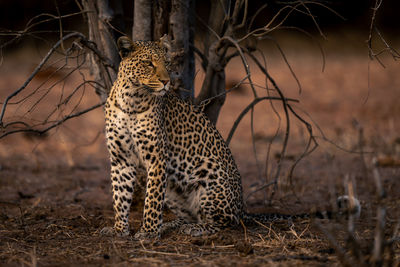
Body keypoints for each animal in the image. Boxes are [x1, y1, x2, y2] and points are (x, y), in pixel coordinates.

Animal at [101, 34, 362, 240]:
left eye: (166, 63)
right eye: (148, 63)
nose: (167, 82)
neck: (131, 99)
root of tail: (242, 205)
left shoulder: (157, 158)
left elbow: (152, 200)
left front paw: (148, 232)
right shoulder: (120, 159)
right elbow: (120, 195)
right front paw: (119, 229)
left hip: (208, 177)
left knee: (227, 222)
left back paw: (197, 229)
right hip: (174, 191)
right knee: (191, 215)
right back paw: (173, 224)